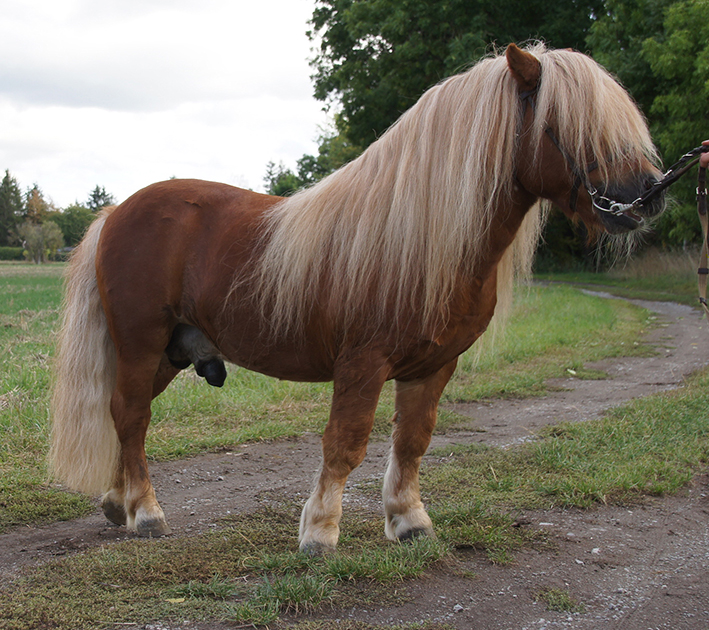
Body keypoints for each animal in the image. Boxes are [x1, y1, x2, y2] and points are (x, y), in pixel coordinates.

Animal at [49, 43, 664, 552]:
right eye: (571, 124)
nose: (648, 196)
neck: (418, 236)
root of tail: (116, 212)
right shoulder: (363, 363)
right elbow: (345, 443)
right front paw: (320, 532)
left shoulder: (433, 366)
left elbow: (412, 441)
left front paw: (410, 521)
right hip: (141, 343)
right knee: (132, 417)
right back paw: (147, 513)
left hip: (171, 351)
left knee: (124, 415)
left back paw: (118, 503)